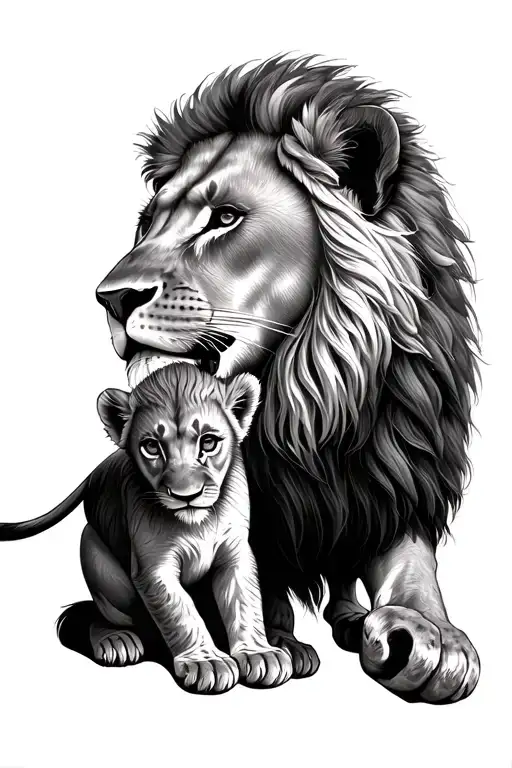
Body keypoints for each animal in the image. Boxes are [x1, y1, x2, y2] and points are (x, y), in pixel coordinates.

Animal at [0, 363, 293, 693]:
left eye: (208, 442)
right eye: (152, 446)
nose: (186, 495)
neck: (199, 523)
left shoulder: (236, 553)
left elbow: (244, 602)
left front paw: (259, 653)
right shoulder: (153, 567)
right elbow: (181, 612)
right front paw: (207, 661)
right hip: (95, 556)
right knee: (96, 614)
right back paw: (116, 641)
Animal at [88, 54, 478, 702]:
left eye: (224, 218)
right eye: (146, 224)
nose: (110, 299)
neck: (310, 396)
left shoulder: (394, 471)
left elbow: (410, 561)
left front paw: (430, 635)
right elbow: (255, 580)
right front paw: (277, 643)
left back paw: (350, 616)